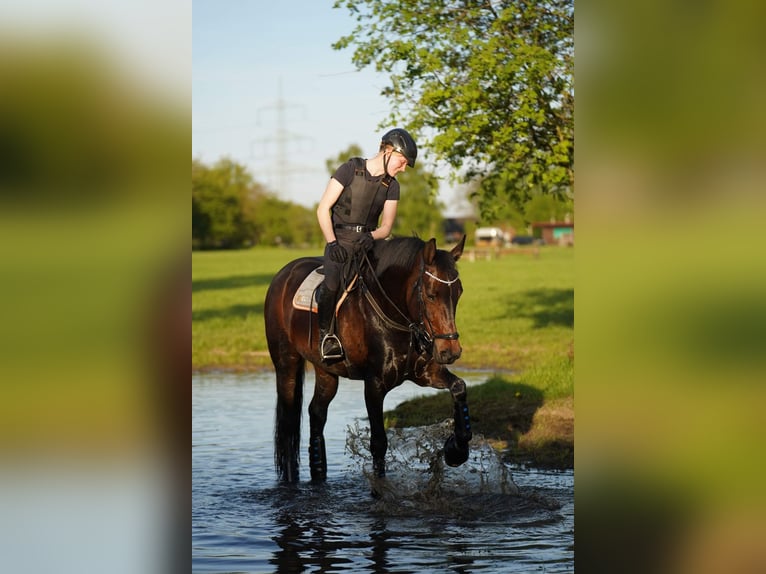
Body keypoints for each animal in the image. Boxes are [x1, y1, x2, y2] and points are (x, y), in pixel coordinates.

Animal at [264, 235, 471, 482]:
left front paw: (456, 450)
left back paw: (319, 473)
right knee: (288, 424)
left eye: (459, 293)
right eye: (431, 295)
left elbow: (459, 387)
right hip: (287, 363)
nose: (451, 351)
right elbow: (379, 443)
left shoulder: (425, 374)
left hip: (326, 372)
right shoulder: (374, 385)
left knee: (316, 413)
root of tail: (282, 275)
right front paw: (380, 488)